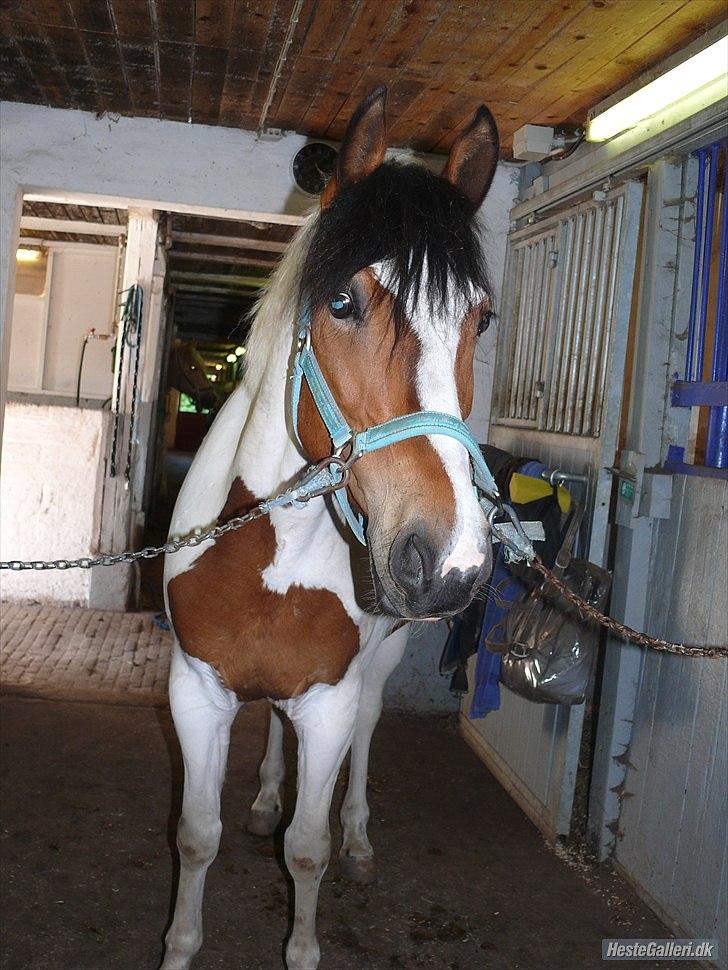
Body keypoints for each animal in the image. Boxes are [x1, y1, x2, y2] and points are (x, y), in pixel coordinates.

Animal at [161, 85, 500, 970]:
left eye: (481, 321)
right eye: (342, 301)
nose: (450, 559)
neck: (266, 555)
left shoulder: (332, 704)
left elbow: (305, 851)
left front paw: (308, 931)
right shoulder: (196, 693)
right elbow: (196, 838)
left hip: (377, 672)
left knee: (366, 742)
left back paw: (359, 840)